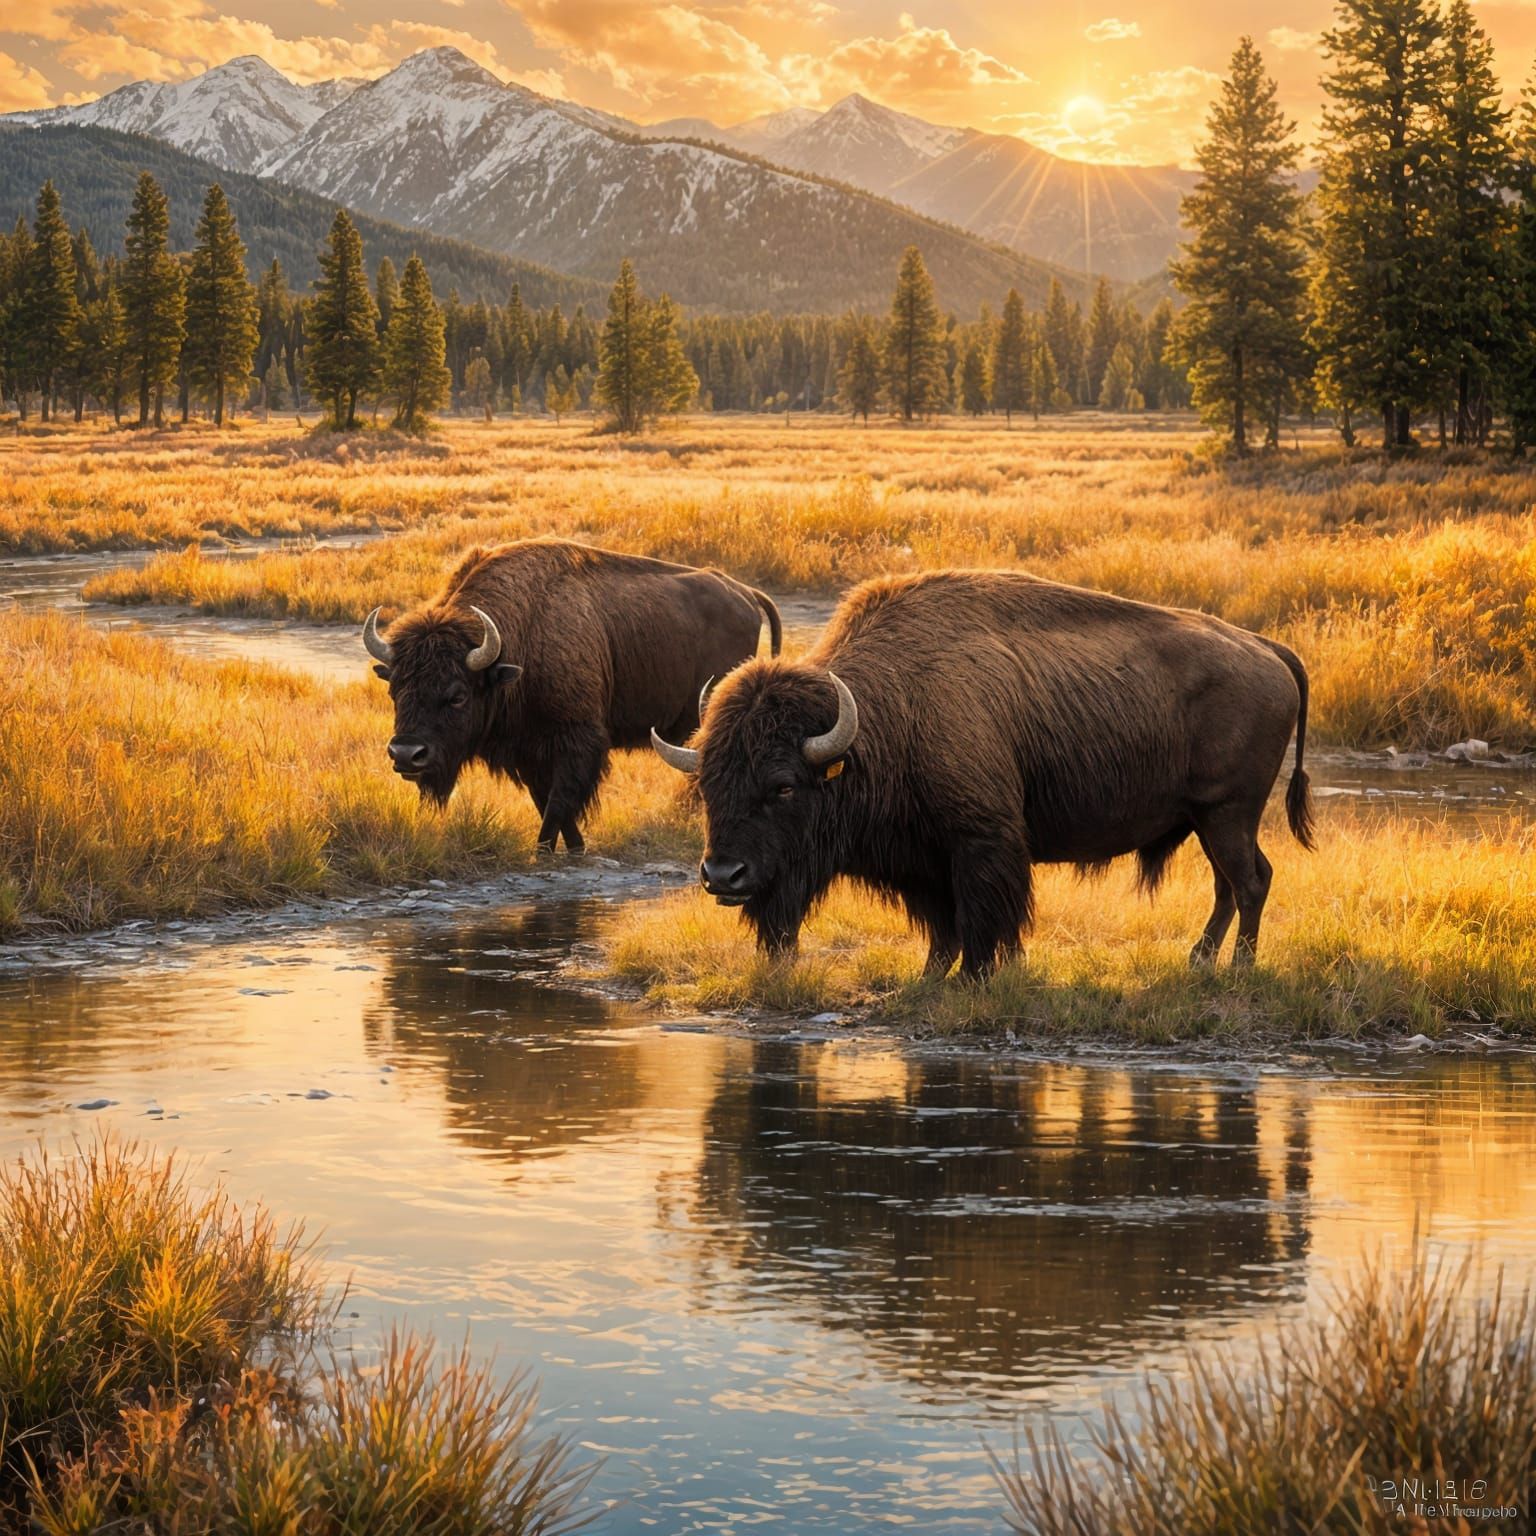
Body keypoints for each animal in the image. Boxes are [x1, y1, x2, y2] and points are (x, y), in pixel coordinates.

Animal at [365, 538, 781, 851]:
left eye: (457, 696)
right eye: (395, 689)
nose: (406, 754)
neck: (524, 634)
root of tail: (745, 593)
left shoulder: (578, 742)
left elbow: (558, 805)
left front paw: (547, 852)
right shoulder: (530, 752)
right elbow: (549, 804)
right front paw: (576, 848)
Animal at [652, 569, 1313, 978]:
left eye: (784, 786)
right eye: (709, 787)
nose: (722, 875)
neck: (887, 715)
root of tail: (1267, 648)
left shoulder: (981, 843)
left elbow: (981, 921)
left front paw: (977, 977)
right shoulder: (921, 863)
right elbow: (943, 929)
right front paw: (931, 977)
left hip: (1228, 812)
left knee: (1251, 881)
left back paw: (1238, 968)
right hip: (1208, 821)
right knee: (1229, 885)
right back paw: (1200, 961)